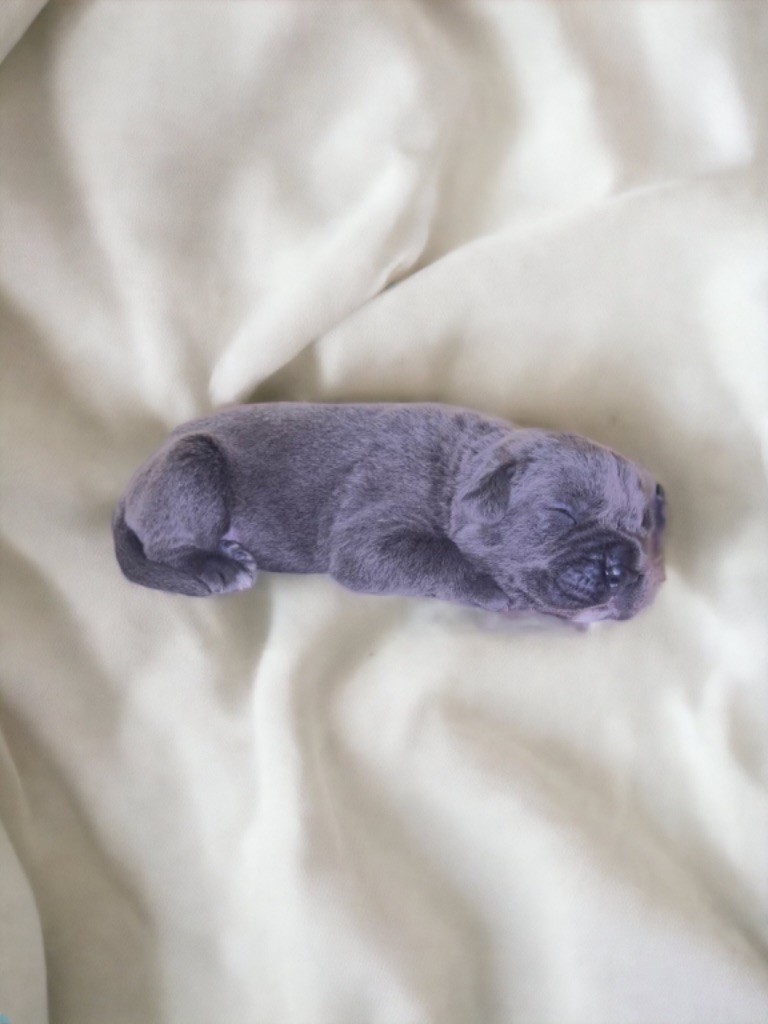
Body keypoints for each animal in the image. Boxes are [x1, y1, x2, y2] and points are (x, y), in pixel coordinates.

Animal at [113, 403, 666, 622]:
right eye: (563, 512)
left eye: (645, 530)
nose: (621, 566)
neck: (457, 473)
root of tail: (132, 482)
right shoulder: (369, 534)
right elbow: (439, 556)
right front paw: (492, 589)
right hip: (192, 464)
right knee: (166, 545)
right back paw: (219, 565)